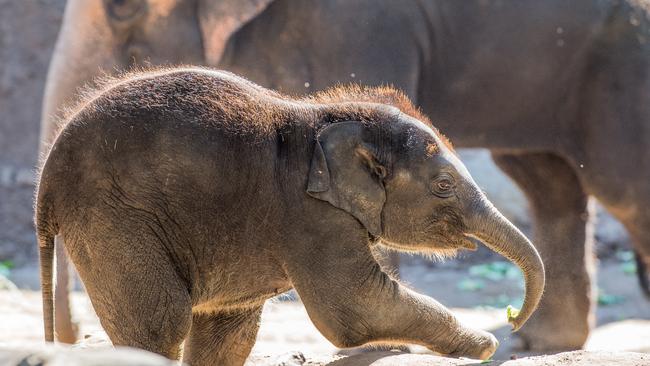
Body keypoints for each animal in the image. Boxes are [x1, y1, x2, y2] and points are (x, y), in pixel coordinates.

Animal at [35, 68, 540, 364]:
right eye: (443, 186)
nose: (513, 319)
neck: (328, 114)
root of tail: (45, 185)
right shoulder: (311, 216)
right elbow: (352, 310)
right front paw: (485, 344)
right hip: (112, 216)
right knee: (159, 321)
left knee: (224, 330)